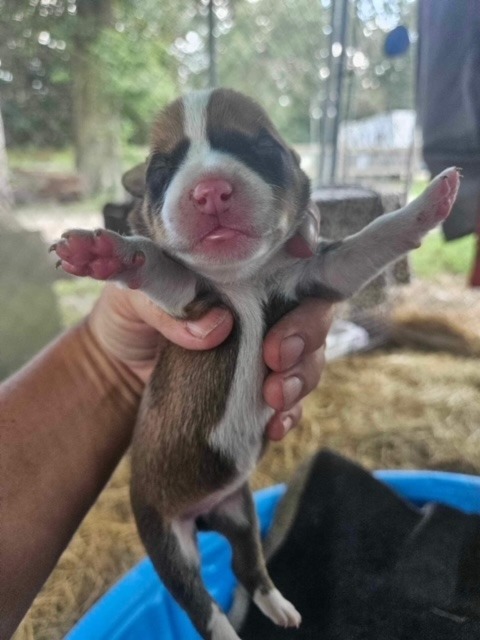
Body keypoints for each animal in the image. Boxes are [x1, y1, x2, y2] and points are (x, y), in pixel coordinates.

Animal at [50, 87, 460, 636]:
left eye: (262, 148)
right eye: (161, 170)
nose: (209, 191)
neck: (242, 279)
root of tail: (205, 515)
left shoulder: (324, 270)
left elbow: (374, 237)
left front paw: (428, 202)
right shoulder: (188, 299)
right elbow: (153, 260)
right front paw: (103, 252)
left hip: (240, 510)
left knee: (247, 566)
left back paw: (278, 606)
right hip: (164, 538)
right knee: (200, 604)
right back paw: (226, 630)